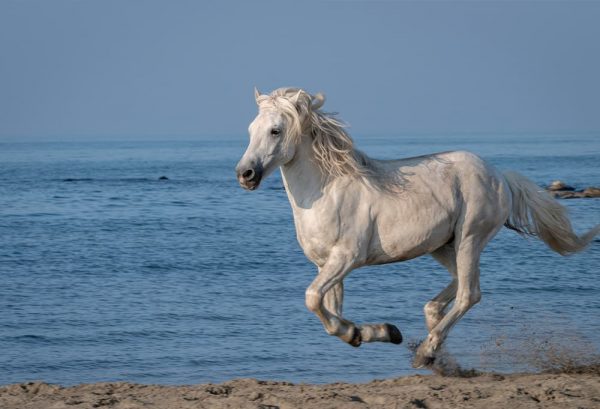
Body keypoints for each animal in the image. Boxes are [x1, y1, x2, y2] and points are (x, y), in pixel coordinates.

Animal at [236, 86, 600, 366]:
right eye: (251, 130)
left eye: (275, 130)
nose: (245, 174)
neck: (327, 191)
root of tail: (500, 176)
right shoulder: (326, 264)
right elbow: (331, 312)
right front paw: (374, 332)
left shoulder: (346, 258)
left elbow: (312, 298)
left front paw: (364, 333)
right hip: (442, 245)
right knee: (458, 285)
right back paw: (432, 329)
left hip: (470, 237)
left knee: (470, 292)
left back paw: (426, 351)